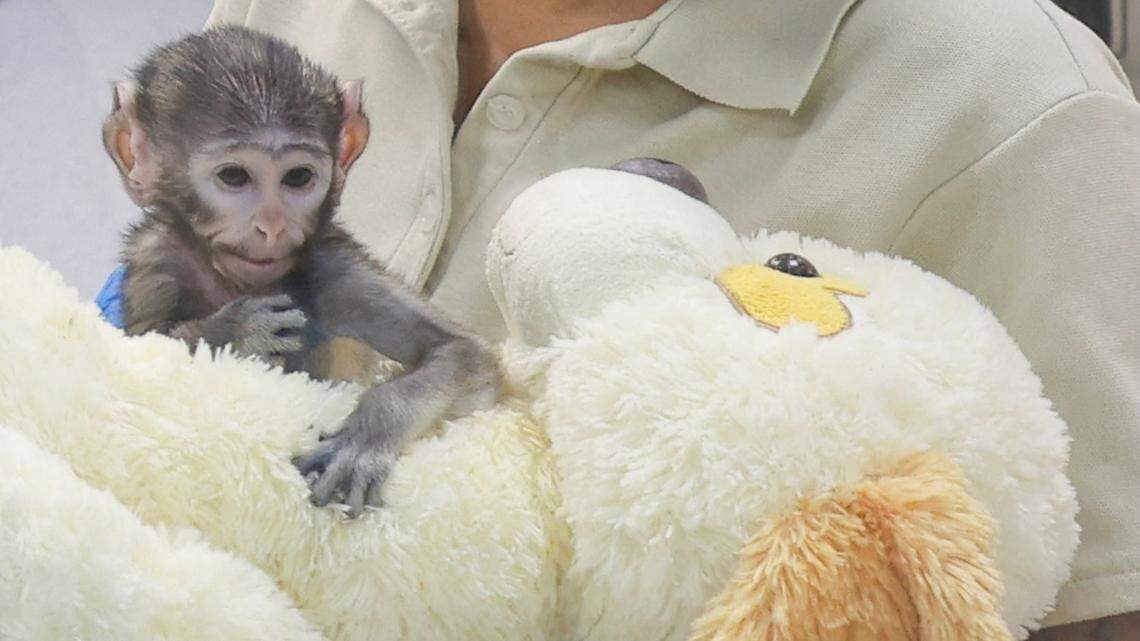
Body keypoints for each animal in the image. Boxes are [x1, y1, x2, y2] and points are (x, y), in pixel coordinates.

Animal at [102, 26, 500, 517]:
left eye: (297, 178)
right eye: (234, 176)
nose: (272, 226)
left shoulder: (332, 266)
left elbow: (462, 353)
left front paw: (365, 438)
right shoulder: (156, 259)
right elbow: (139, 348)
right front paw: (236, 329)